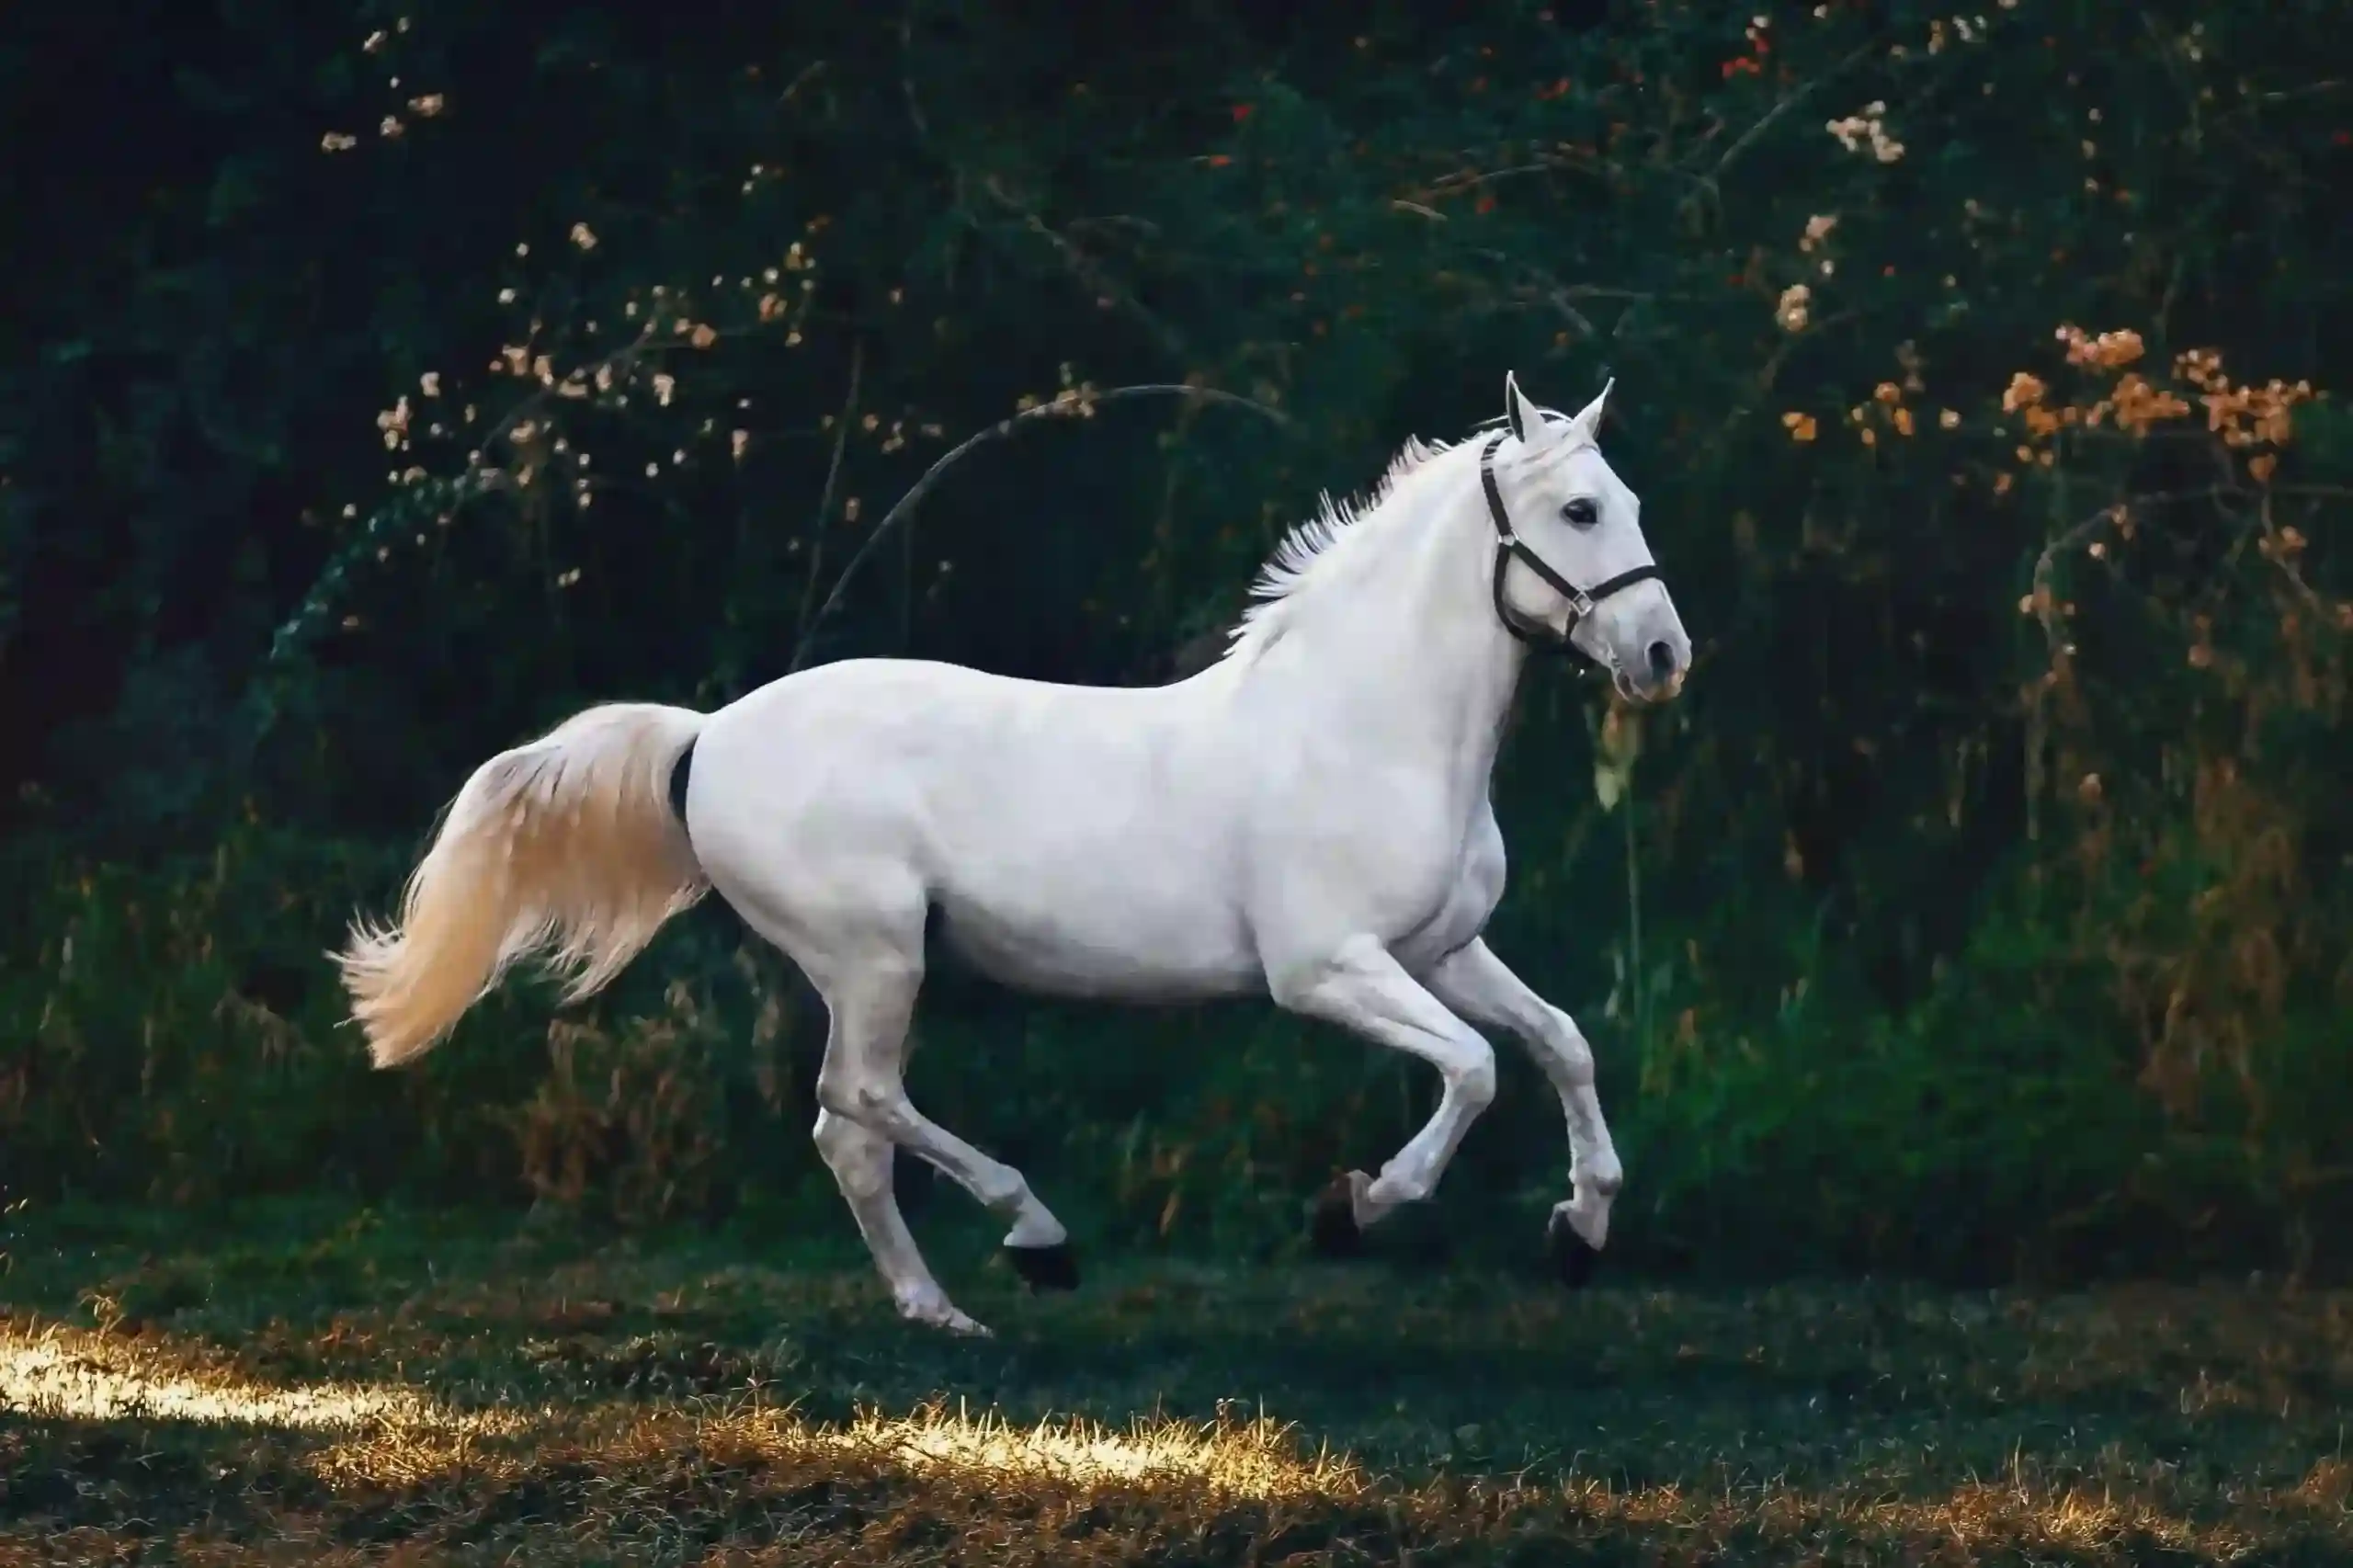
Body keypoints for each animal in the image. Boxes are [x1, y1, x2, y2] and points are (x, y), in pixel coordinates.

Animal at [337, 371, 1691, 1335]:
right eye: (1579, 509)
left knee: (846, 1132)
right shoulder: (1326, 969)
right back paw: (1035, 1238)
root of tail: (707, 734)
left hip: (870, 966)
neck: (1367, 724)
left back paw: (942, 1309)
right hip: (876, 955)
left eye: (1632, 503)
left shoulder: (1444, 949)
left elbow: (1559, 1042)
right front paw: (1354, 1207)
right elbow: (1474, 1069)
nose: (1664, 655)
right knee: (860, 1101)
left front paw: (1580, 1230)